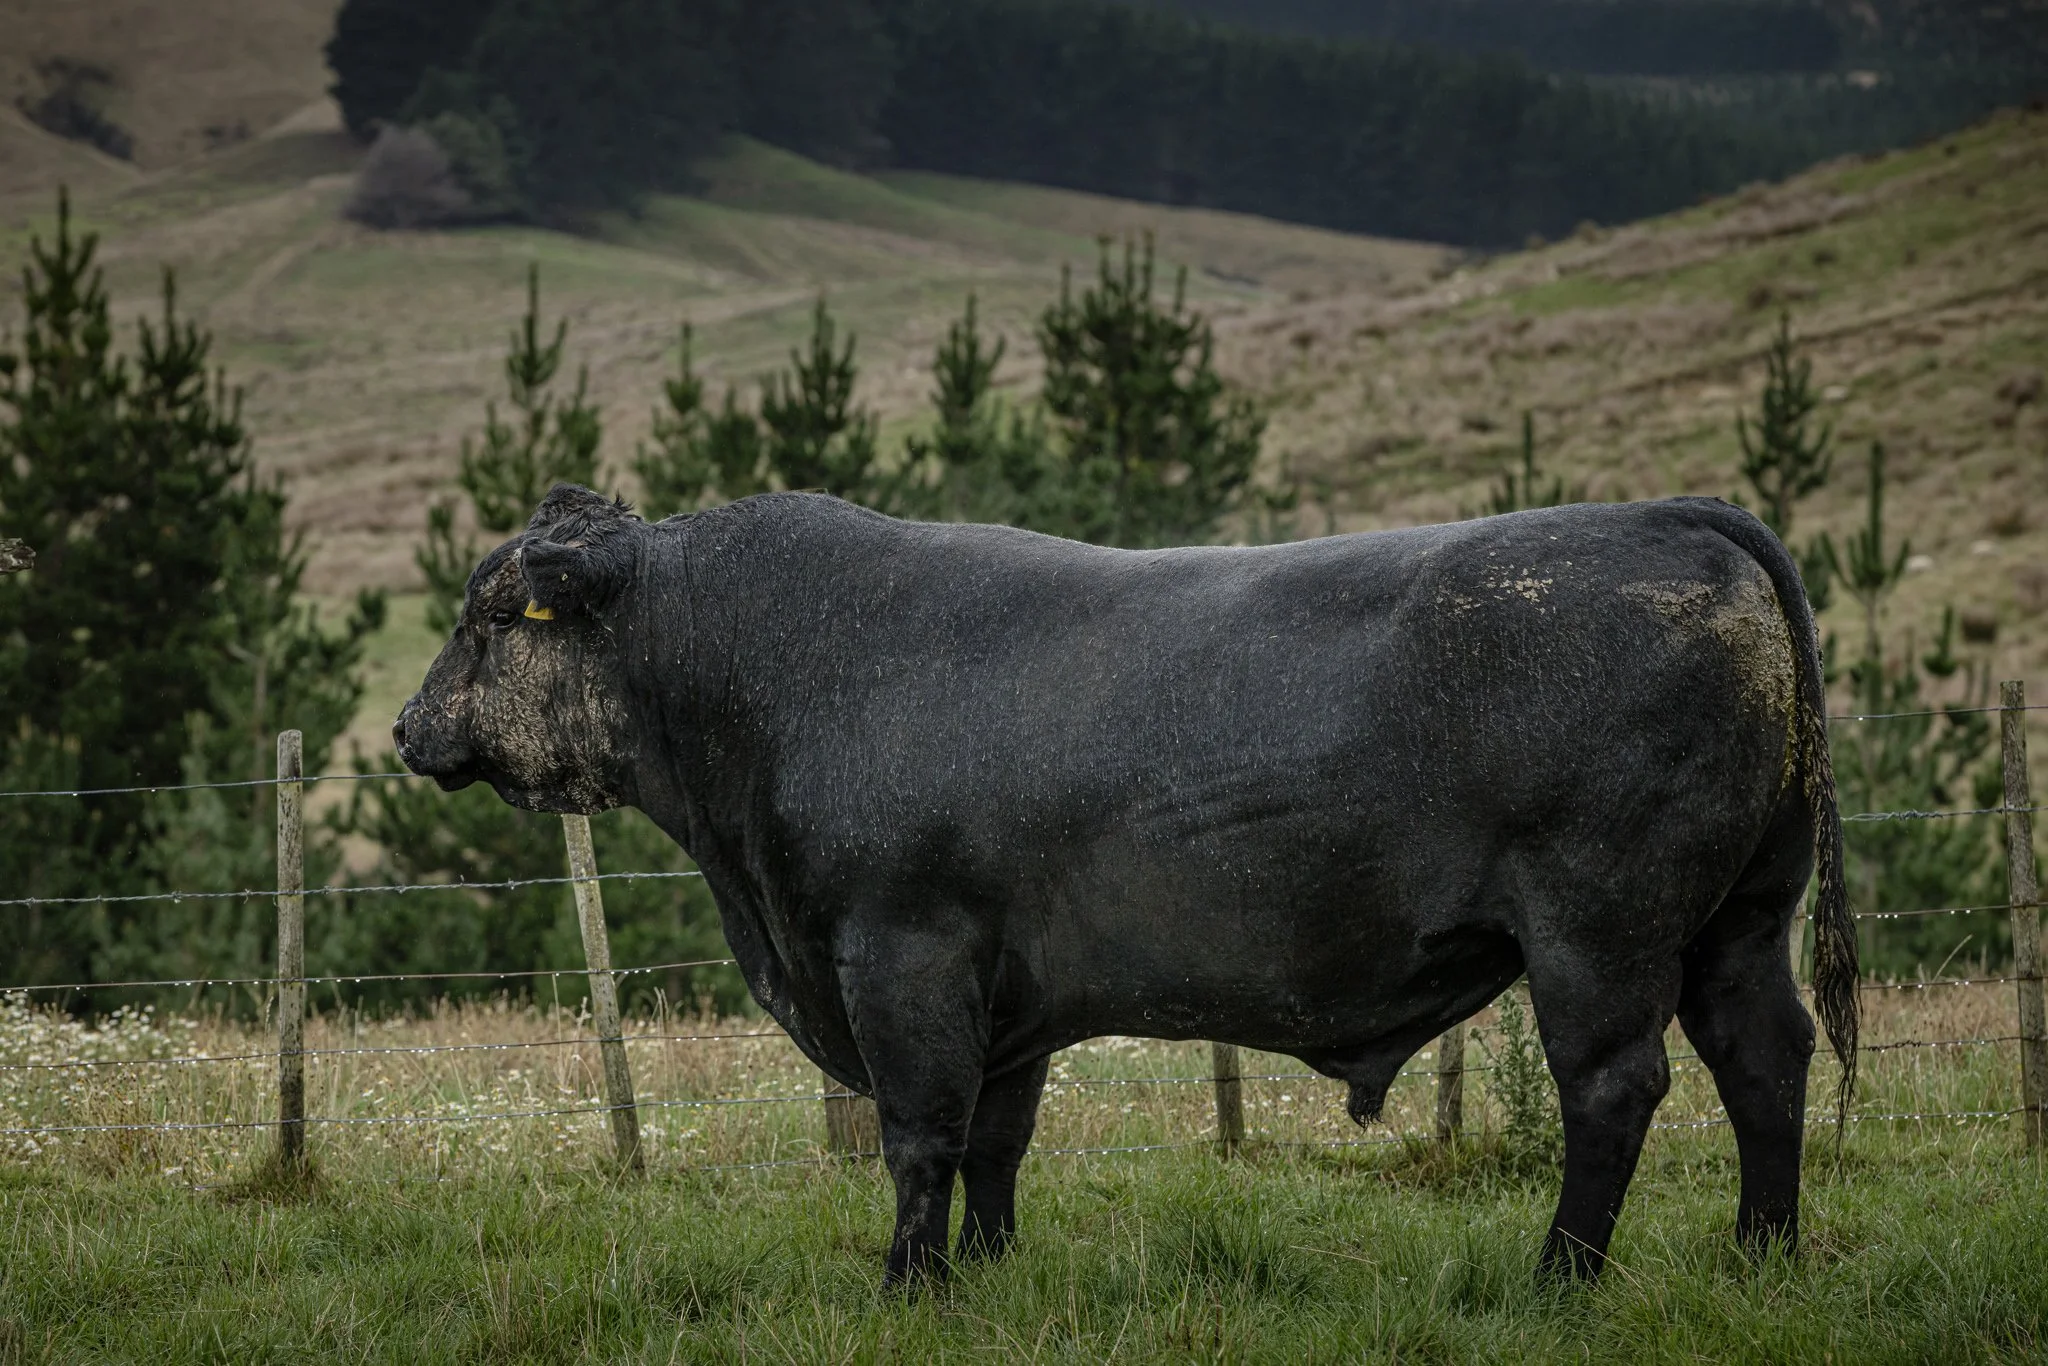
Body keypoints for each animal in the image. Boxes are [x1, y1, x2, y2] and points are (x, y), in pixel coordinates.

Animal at [394, 483, 1857, 1285]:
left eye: (489, 615)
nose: (408, 727)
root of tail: (1674, 517)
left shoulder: (903, 953)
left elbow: (919, 1135)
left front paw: (906, 1286)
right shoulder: (1007, 989)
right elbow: (995, 1138)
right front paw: (985, 1274)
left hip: (1600, 925)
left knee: (1615, 1085)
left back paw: (1560, 1276)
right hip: (1739, 914)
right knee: (1764, 1054)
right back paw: (1760, 1250)